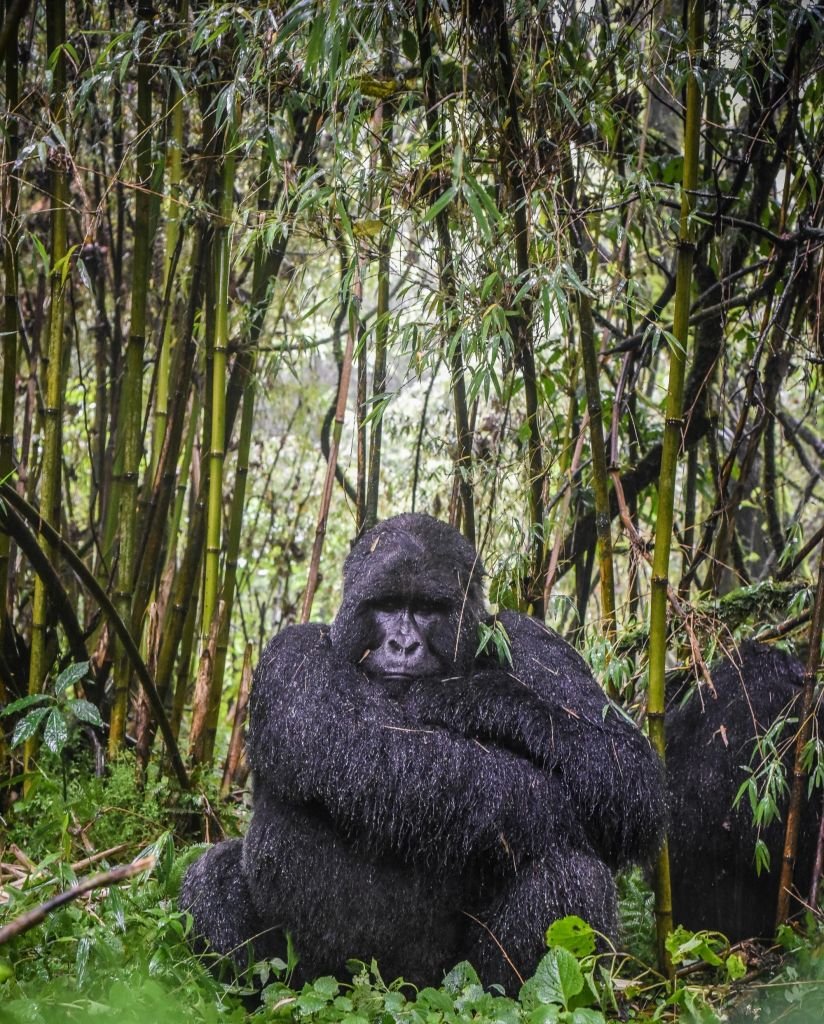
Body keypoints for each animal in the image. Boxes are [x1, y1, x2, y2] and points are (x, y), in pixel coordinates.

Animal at [181, 512, 667, 991]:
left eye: (429, 610)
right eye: (387, 606)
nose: (403, 645)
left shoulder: (532, 638)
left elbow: (628, 772)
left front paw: (475, 696)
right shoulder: (291, 655)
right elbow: (374, 752)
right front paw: (546, 804)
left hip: (449, 981)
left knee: (569, 873)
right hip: (317, 976)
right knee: (213, 875)